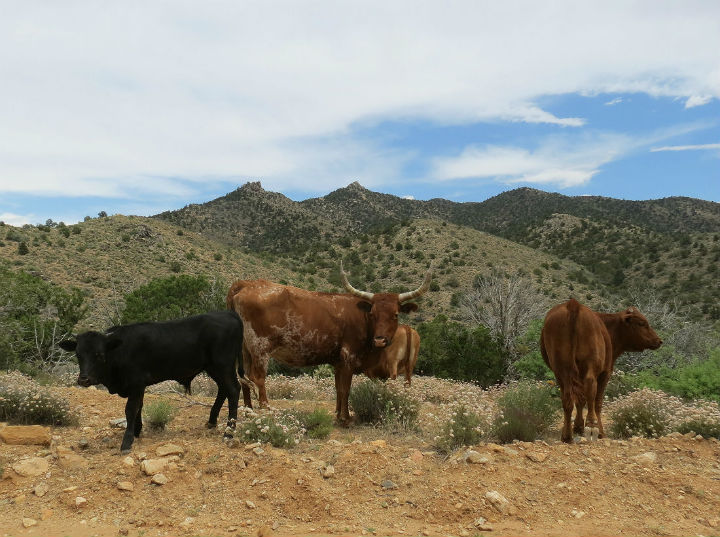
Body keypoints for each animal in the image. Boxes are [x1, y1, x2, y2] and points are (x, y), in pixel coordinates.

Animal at [59, 311, 246, 453]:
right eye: (78, 354)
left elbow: (130, 409)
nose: (84, 379)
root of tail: (228, 313)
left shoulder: (136, 383)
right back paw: (212, 421)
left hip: (223, 366)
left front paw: (127, 441)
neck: (120, 351)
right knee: (223, 390)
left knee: (233, 390)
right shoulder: (138, 387)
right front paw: (137, 430)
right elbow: (139, 407)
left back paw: (229, 432)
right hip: (214, 368)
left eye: (99, 354)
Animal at [227, 263, 432, 424]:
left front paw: (338, 413)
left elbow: (338, 388)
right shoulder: (348, 357)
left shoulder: (338, 362)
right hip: (260, 348)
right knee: (258, 378)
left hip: (245, 349)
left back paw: (248, 411)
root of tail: (246, 284)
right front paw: (346, 418)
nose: (380, 339)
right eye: (373, 313)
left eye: (395, 314)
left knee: (244, 378)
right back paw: (265, 409)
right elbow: (346, 389)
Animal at [540, 298, 662, 443]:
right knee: (591, 390)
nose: (659, 340)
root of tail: (573, 304)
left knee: (567, 398)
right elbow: (597, 402)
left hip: (561, 368)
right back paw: (592, 426)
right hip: (590, 366)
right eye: (642, 323)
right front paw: (599, 431)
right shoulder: (606, 372)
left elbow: (580, 400)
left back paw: (567, 436)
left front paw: (578, 427)